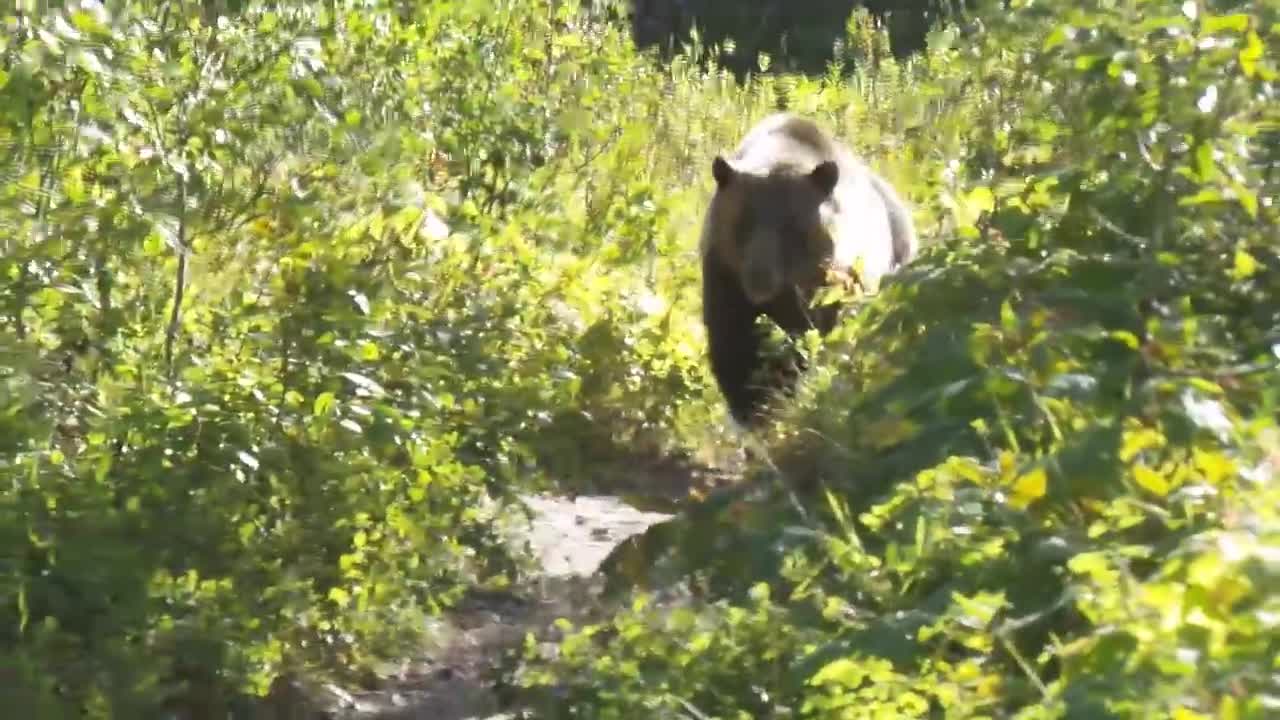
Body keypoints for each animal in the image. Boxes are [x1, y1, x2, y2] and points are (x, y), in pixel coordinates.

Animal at [701, 112, 921, 425]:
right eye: (743, 223)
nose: (760, 281)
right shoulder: (724, 275)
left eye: (791, 228)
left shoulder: (834, 280)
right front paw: (755, 410)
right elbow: (733, 347)